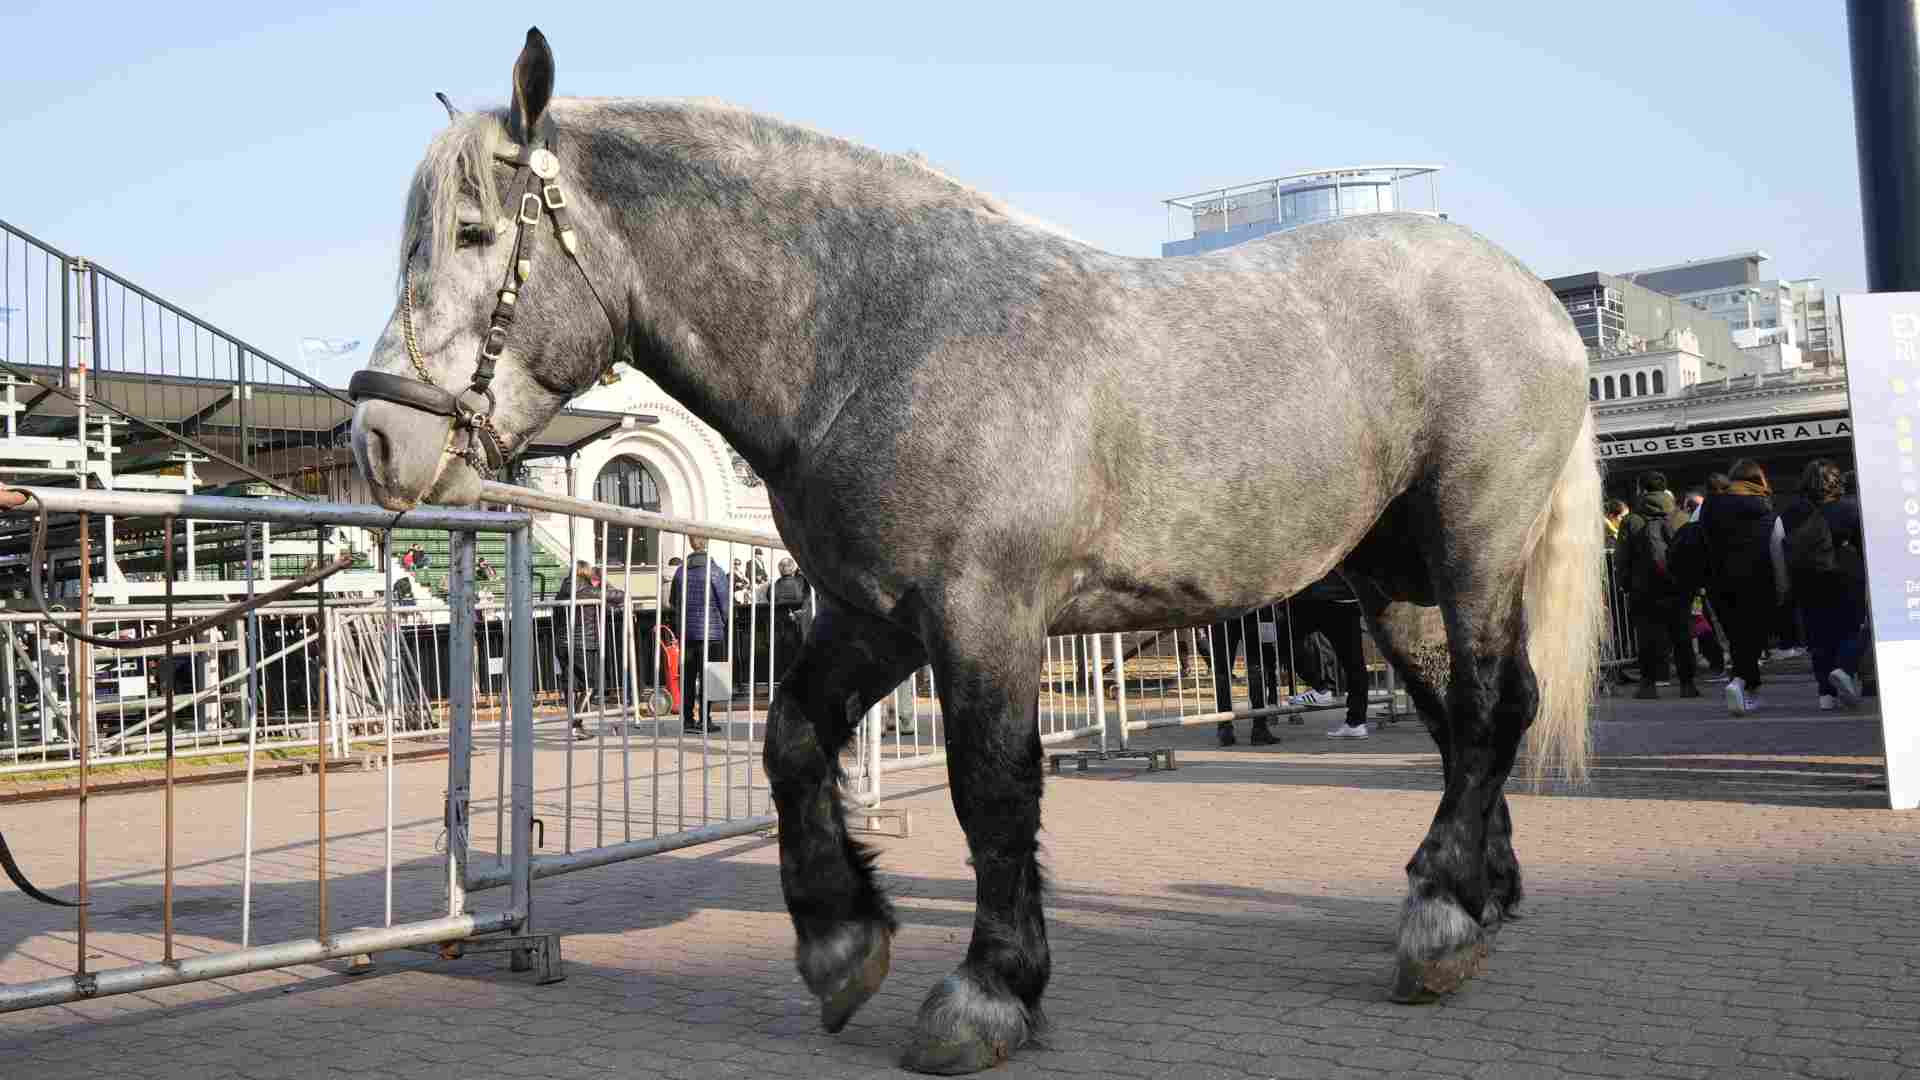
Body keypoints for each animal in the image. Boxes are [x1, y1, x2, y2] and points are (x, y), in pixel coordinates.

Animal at [349, 29, 1605, 1068]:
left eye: (473, 232)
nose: (378, 438)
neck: (877, 335)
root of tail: (1536, 304)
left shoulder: (980, 615)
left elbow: (991, 787)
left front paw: (989, 993)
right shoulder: (874, 616)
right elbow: (793, 742)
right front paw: (840, 943)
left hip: (1472, 544)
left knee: (1494, 705)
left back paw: (1439, 920)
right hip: (1393, 581)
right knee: (1460, 716)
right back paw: (1475, 894)